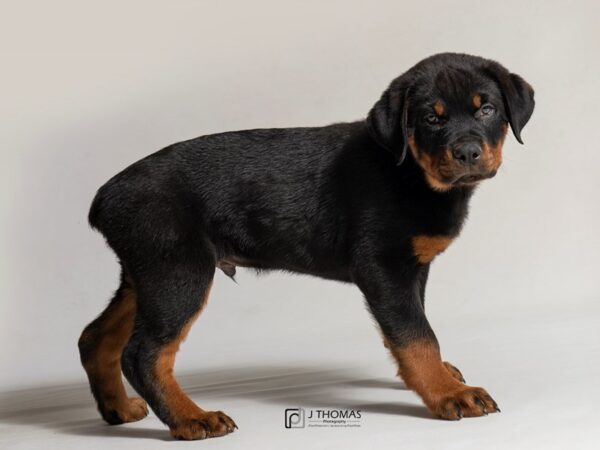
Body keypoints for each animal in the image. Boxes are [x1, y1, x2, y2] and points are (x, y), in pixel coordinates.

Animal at [78, 52, 536, 440]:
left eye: (486, 109)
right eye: (430, 118)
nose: (468, 153)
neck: (408, 170)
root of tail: (106, 195)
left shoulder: (412, 269)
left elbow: (411, 331)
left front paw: (436, 376)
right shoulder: (383, 266)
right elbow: (417, 335)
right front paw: (446, 394)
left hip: (147, 271)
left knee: (96, 336)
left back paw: (118, 408)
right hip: (179, 271)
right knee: (143, 353)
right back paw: (191, 418)